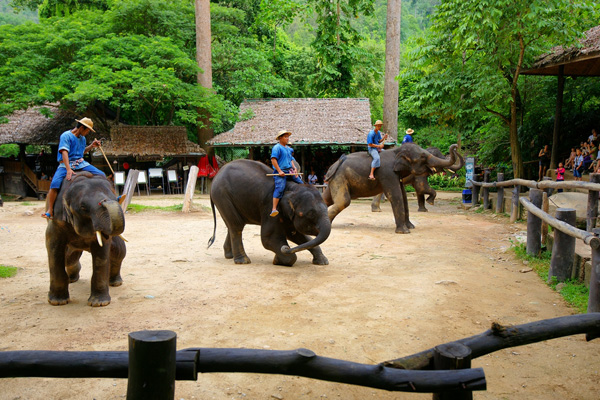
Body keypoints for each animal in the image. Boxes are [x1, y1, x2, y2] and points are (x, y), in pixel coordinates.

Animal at [45, 172, 126, 306]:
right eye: (83, 207)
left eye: (116, 199)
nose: (104, 201)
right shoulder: (57, 220)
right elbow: (53, 246)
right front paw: (57, 302)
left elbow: (102, 250)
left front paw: (98, 303)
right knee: (69, 258)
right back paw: (72, 279)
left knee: (119, 252)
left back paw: (115, 283)